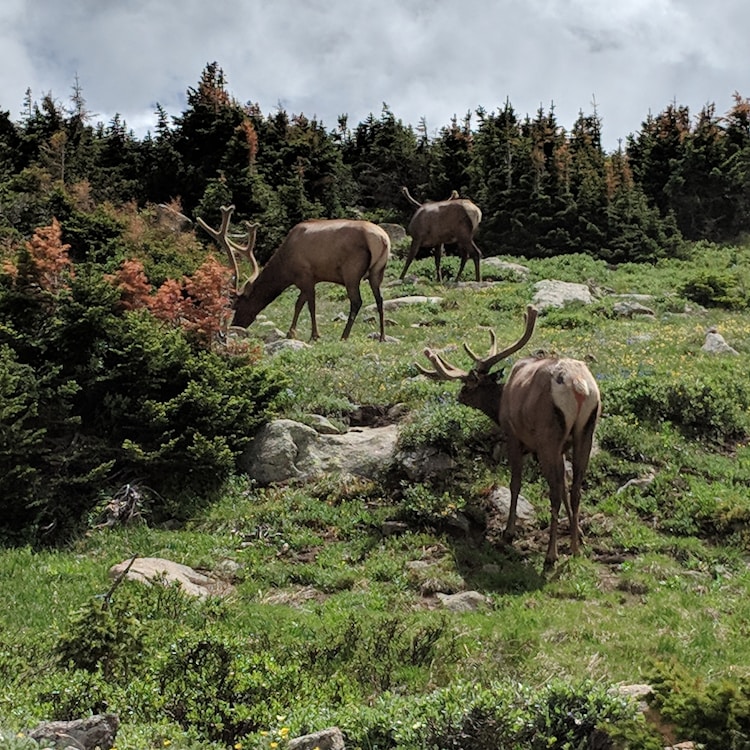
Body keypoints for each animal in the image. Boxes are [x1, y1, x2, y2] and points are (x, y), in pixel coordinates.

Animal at [197, 209, 390, 344]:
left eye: (237, 306)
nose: (236, 326)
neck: (286, 268)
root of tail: (383, 239)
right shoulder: (307, 279)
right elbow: (298, 304)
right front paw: (291, 332)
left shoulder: (305, 276)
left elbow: (310, 305)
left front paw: (314, 335)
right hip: (377, 272)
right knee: (380, 300)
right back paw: (382, 336)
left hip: (351, 271)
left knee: (357, 301)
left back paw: (344, 336)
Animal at [418, 306, 604, 564]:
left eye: (467, 386)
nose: (459, 396)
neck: (499, 406)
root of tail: (578, 386)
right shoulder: (563, 448)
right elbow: (567, 487)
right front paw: (579, 534)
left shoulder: (514, 437)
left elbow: (515, 483)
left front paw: (508, 533)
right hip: (585, 431)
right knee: (576, 489)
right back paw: (575, 549)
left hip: (547, 437)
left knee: (554, 492)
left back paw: (551, 554)